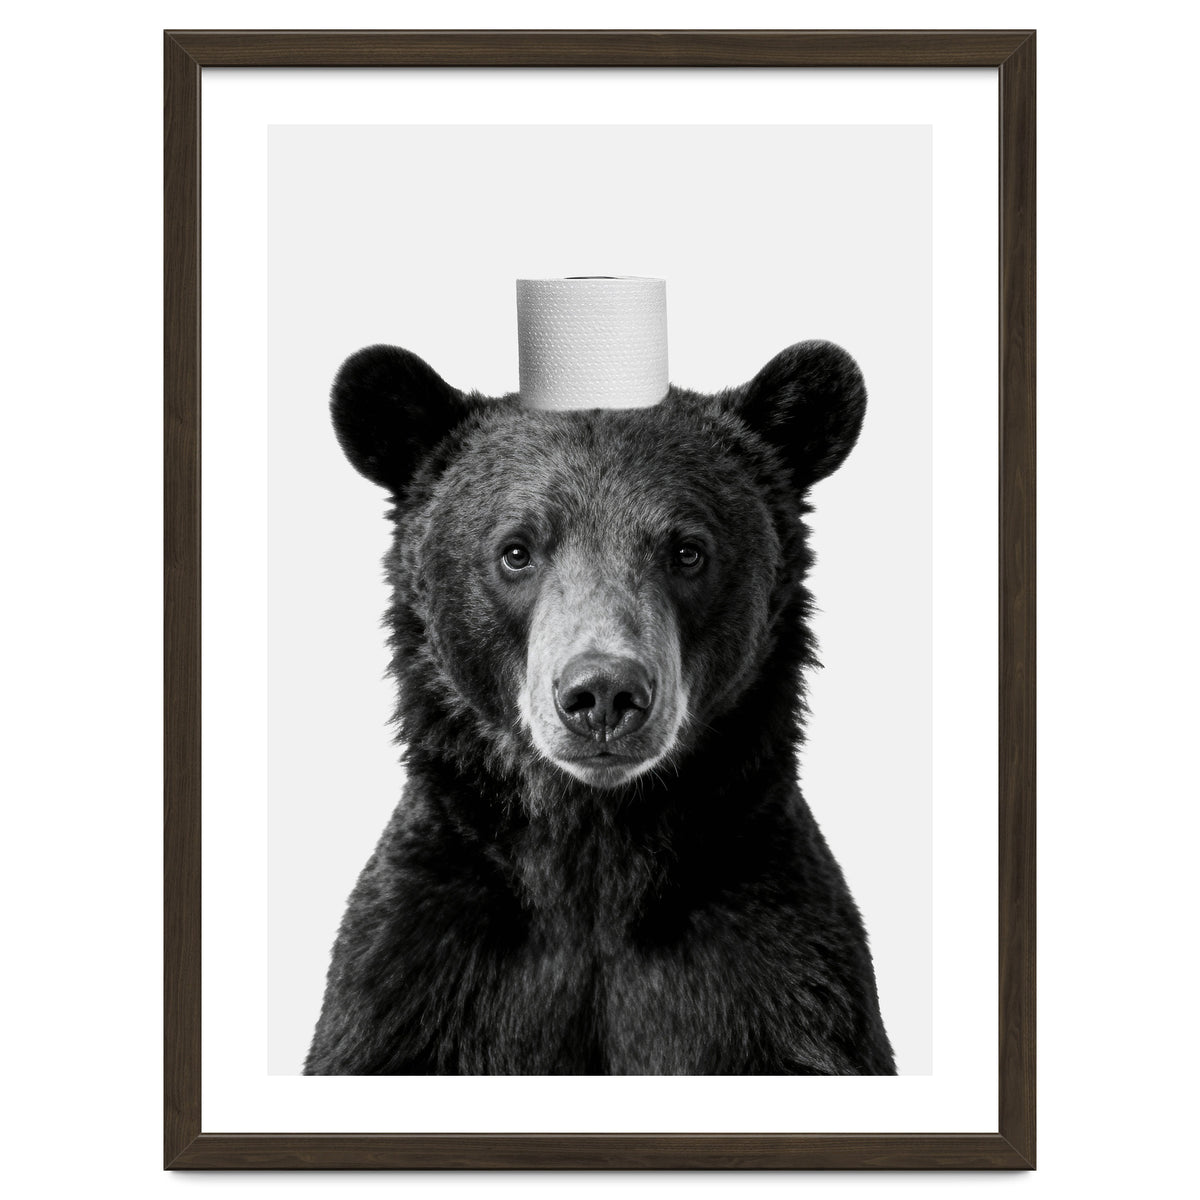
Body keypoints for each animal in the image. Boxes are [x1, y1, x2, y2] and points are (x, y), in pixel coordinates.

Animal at [304, 339, 896, 1076]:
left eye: (687, 551)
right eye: (516, 551)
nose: (604, 694)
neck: (595, 849)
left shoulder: (779, 972)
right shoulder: (417, 972)